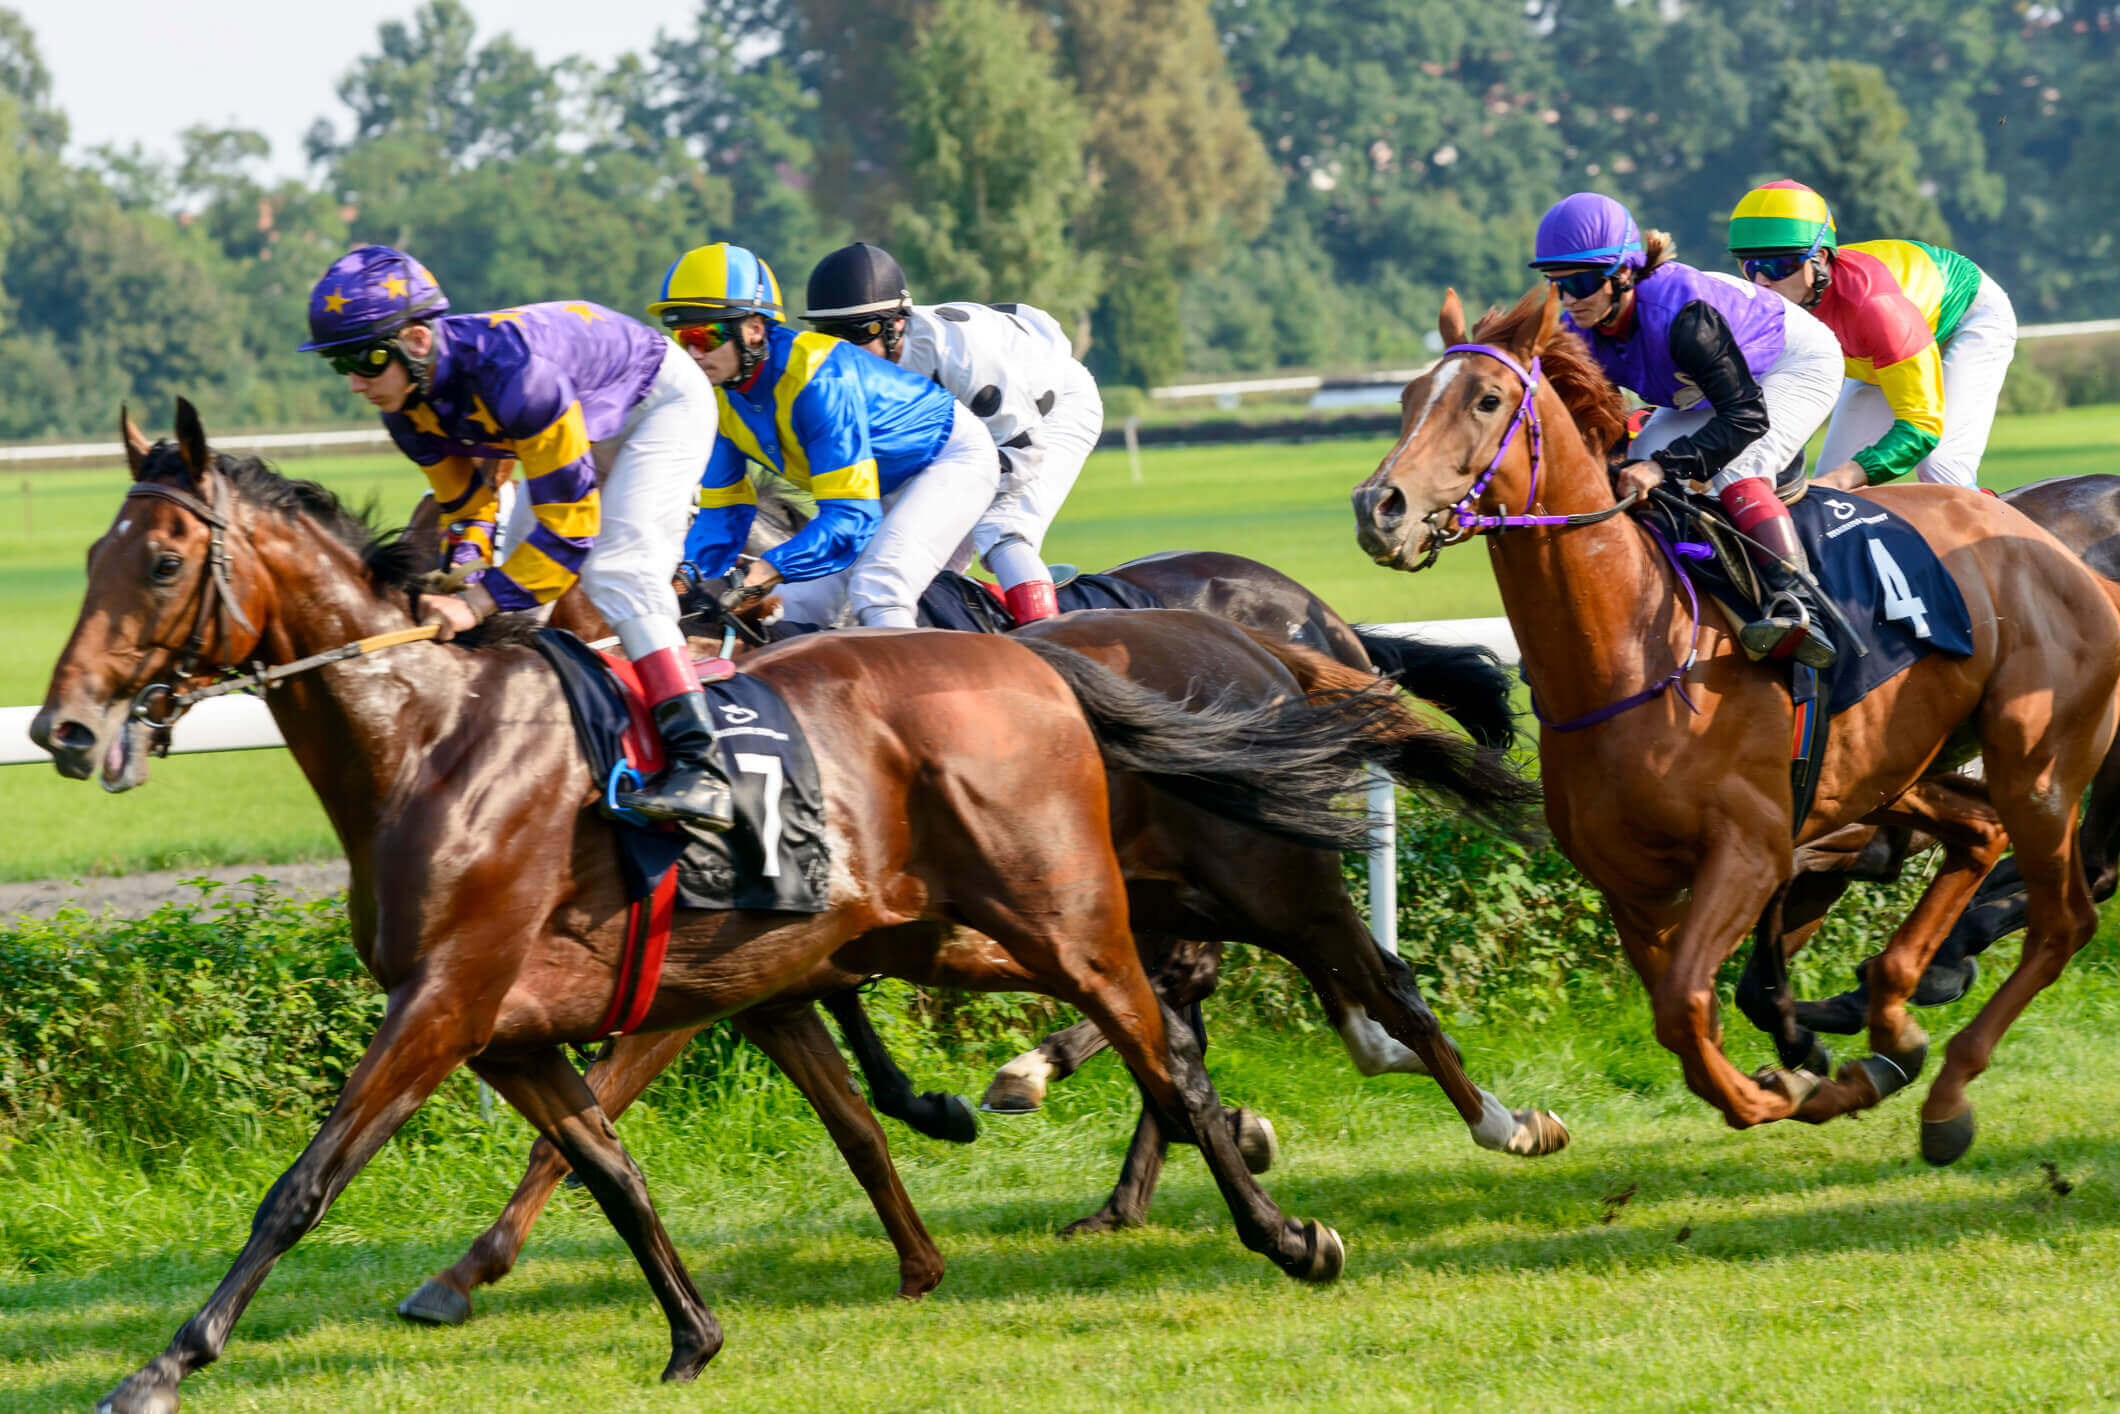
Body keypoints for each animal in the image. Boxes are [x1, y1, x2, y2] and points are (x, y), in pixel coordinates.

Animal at [38, 403, 1476, 1410]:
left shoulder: (452, 1001)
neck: (432, 741)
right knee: (1170, 1021)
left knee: (1179, 1021)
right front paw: (693, 1331)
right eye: (91, 553)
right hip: (957, 925)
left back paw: (1327, 1203)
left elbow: (308, 1182)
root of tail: (1038, 665)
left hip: (1084, 905)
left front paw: (164, 1363)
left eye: (160, 560)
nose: (65, 726)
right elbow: (613, 1159)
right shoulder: (525, 1025)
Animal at [1351, 286, 2120, 1164]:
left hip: (2038, 764)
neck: (1634, 649)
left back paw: (1947, 1094)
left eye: (1486, 400)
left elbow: (1689, 1005)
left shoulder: (1751, 853)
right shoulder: (1634, 883)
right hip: (1894, 774)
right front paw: (1818, 1081)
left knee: (2063, 918)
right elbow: (1688, 1024)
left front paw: (1800, 1081)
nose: (1379, 507)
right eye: (1409, 399)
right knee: (1979, 835)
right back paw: (1896, 1021)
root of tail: (2063, 556)